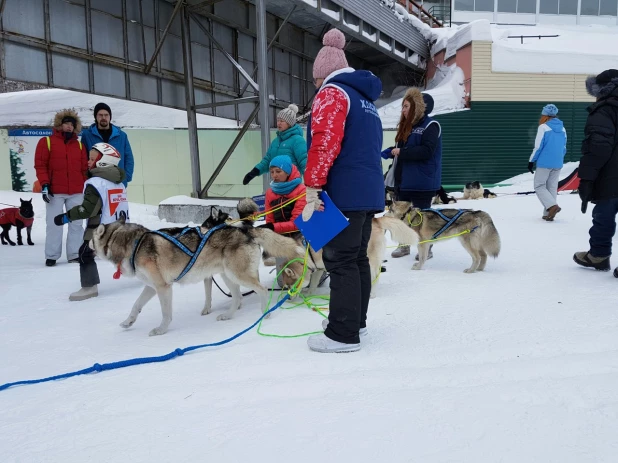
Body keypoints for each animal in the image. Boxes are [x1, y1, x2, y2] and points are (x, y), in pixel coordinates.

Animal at [90, 199, 304, 338]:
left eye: (91, 237)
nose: (86, 245)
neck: (133, 244)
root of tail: (245, 229)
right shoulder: (151, 286)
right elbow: (136, 305)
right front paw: (128, 322)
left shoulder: (163, 288)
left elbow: (166, 314)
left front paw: (161, 330)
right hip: (227, 276)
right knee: (237, 297)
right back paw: (228, 315)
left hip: (237, 275)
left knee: (261, 290)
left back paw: (265, 313)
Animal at [280, 217, 416, 298]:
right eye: (286, 287)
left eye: (290, 287)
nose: (289, 299)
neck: (306, 250)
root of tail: (375, 219)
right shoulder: (318, 268)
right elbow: (313, 283)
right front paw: (309, 293)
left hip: (370, 261)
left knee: (375, 276)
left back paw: (371, 294)